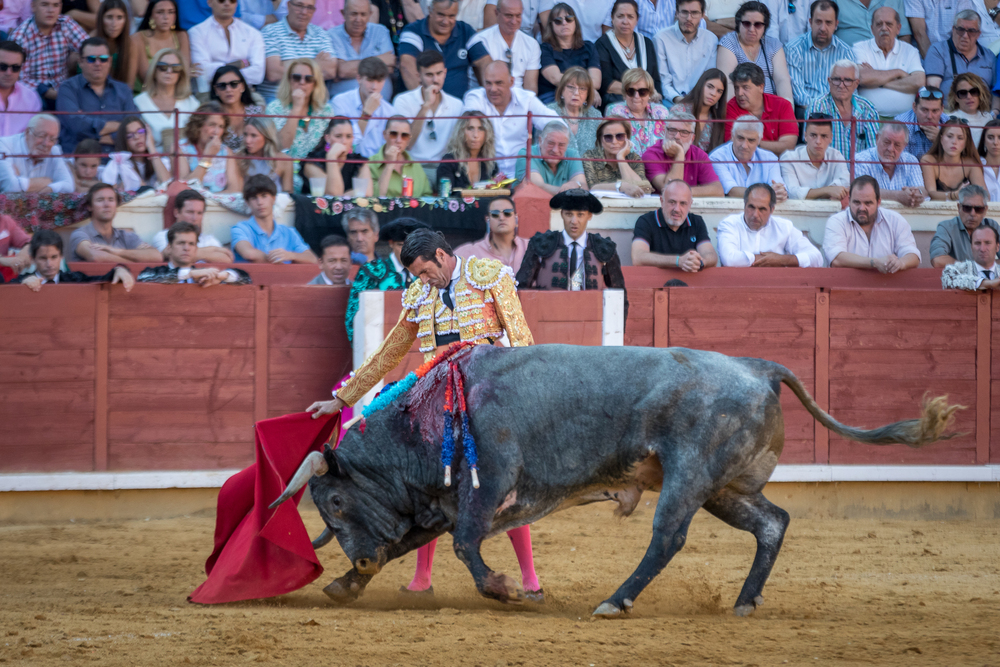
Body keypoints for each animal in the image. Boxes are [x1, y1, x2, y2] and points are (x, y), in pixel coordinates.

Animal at [270, 348, 956, 620]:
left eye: (336, 500)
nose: (358, 556)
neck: (426, 418)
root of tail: (757, 367)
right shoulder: (440, 506)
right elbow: (416, 543)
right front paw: (344, 584)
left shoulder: (489, 484)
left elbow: (466, 545)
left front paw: (504, 591)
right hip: (725, 488)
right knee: (773, 522)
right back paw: (744, 602)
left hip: (688, 477)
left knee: (667, 539)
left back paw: (615, 601)